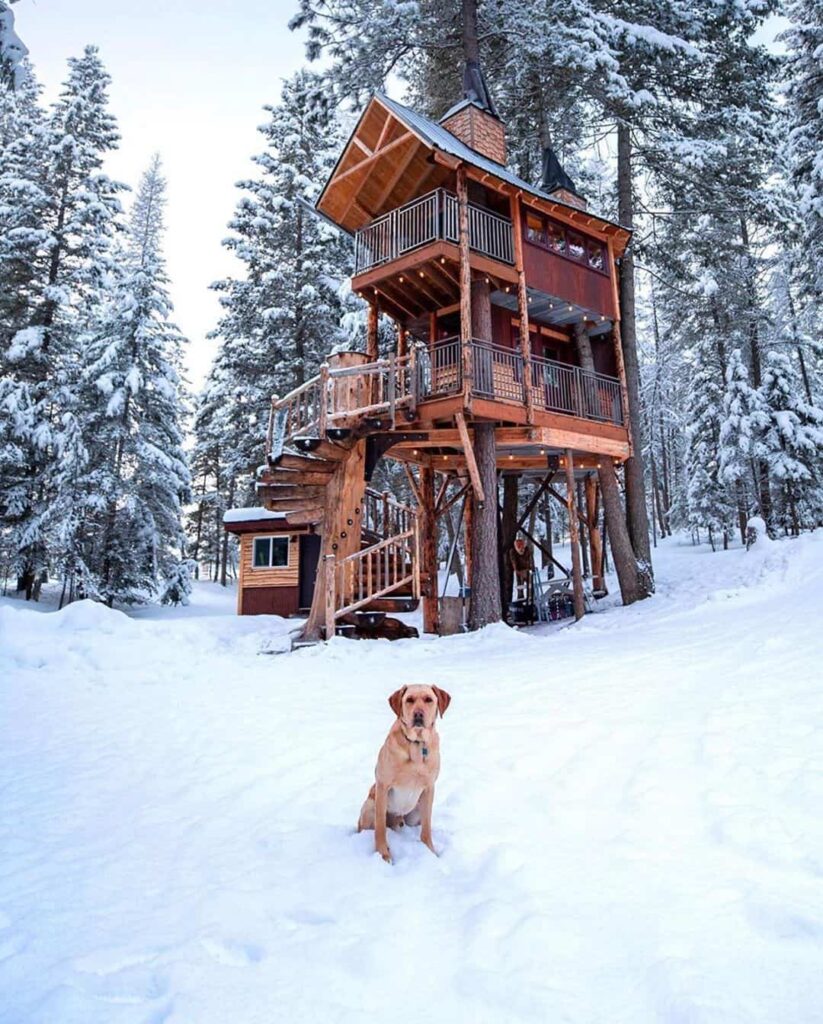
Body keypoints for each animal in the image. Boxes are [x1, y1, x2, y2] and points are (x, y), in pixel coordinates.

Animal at [358, 684, 452, 860]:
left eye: (429, 699)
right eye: (409, 700)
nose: (418, 714)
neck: (416, 744)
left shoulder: (429, 788)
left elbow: (426, 829)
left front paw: (430, 852)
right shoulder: (383, 785)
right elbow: (380, 829)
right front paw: (384, 855)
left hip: (416, 812)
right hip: (369, 805)